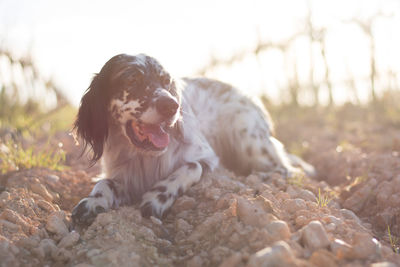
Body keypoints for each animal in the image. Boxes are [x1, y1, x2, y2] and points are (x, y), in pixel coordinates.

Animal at [72, 54, 316, 226]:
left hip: (249, 140)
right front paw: (93, 202)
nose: (171, 106)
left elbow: (192, 167)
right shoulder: (124, 175)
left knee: (288, 169)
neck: (145, 156)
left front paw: (157, 197)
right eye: (131, 79)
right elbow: (105, 183)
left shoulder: (208, 158)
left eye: (166, 81)